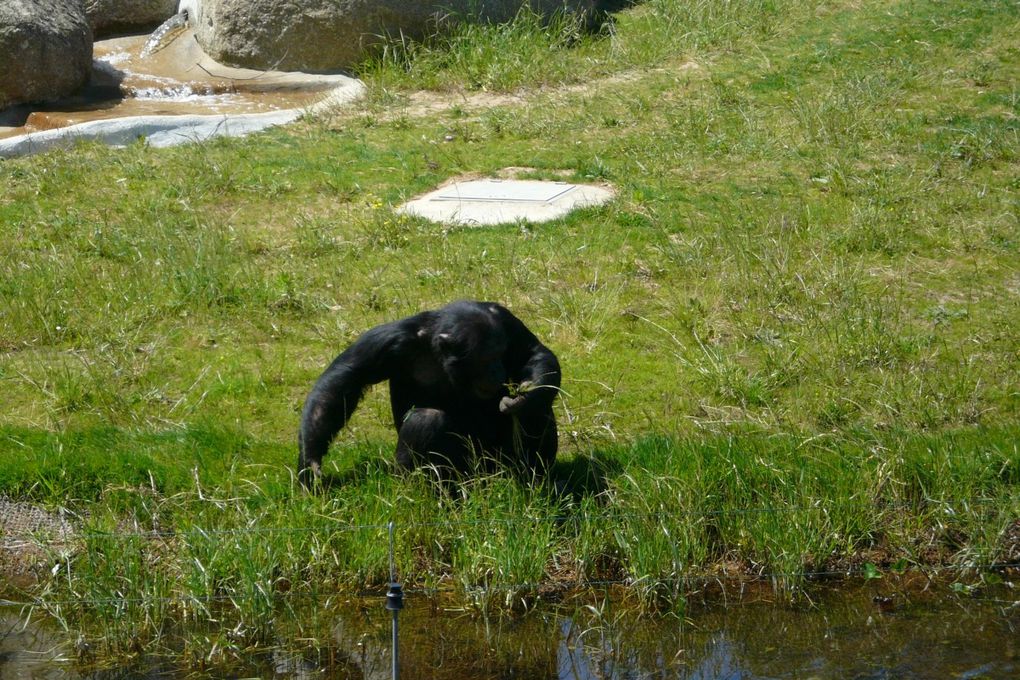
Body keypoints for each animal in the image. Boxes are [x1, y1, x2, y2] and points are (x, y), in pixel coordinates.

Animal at [297, 299, 563, 487]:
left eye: (500, 353)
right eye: (487, 358)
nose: (497, 369)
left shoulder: (505, 320)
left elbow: (533, 352)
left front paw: (527, 397)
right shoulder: (385, 340)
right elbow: (342, 381)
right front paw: (310, 463)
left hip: (500, 462)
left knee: (539, 411)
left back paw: (533, 476)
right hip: (465, 471)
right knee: (426, 419)